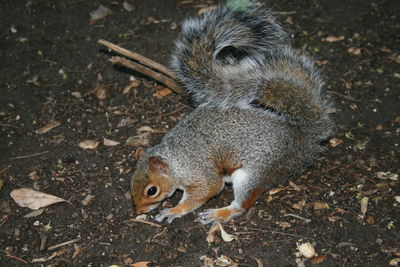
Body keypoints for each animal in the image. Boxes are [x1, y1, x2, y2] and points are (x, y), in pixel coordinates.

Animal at [130, 4, 332, 226]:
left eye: (152, 190)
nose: (137, 210)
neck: (175, 160)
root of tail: (304, 142)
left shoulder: (199, 173)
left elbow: (207, 189)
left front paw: (174, 210)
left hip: (252, 173)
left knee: (242, 206)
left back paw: (220, 213)